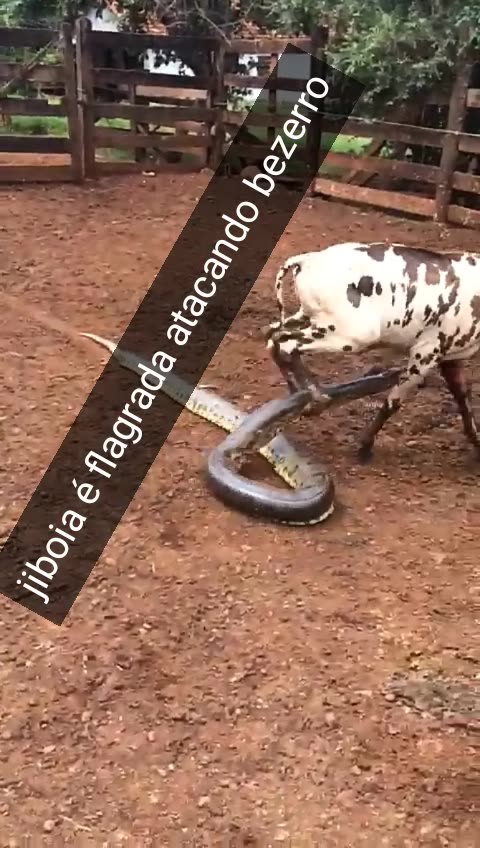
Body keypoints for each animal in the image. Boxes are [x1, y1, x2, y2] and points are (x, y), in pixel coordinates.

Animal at [264, 242, 480, 461]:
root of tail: (308, 259)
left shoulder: (451, 358)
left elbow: (463, 398)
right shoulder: (425, 355)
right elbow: (393, 402)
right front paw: (365, 447)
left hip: (309, 319)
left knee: (272, 336)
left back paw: (301, 394)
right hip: (350, 334)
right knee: (286, 344)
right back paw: (318, 397)